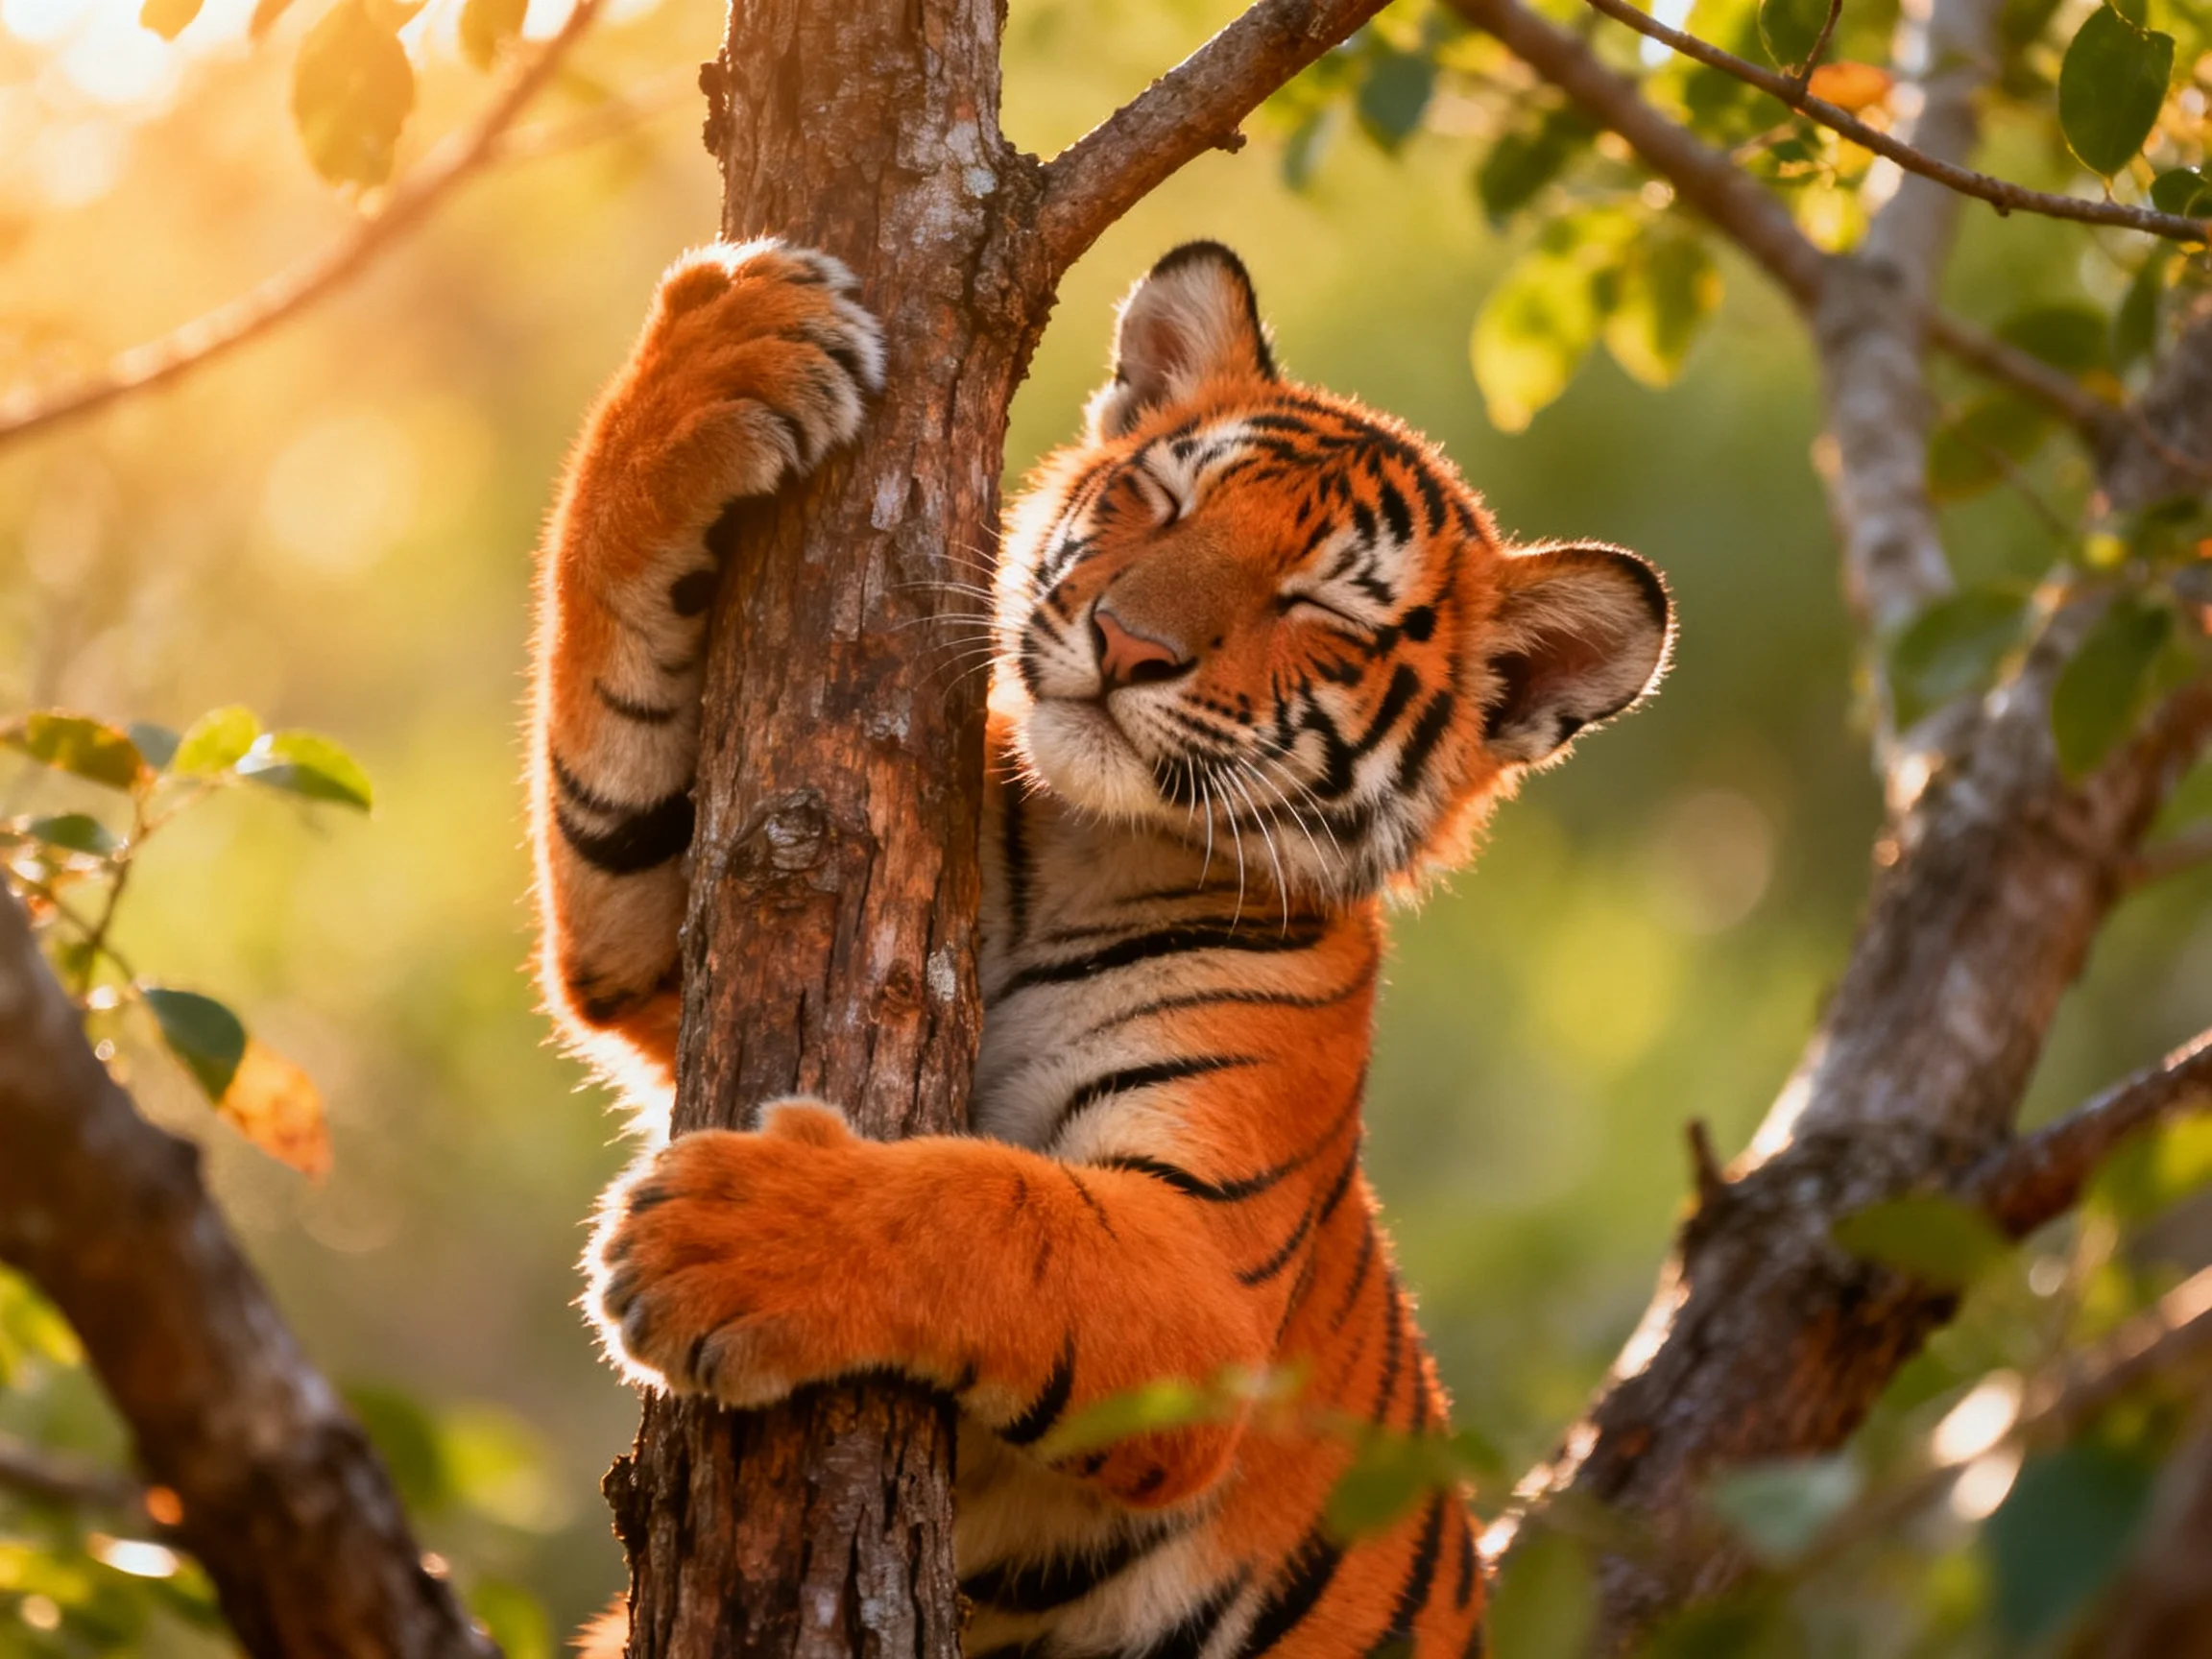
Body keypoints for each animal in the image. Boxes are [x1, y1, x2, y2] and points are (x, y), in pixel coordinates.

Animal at [529, 237, 1671, 1657]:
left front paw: (724, 1236)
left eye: (1320, 611)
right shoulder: (664, 928)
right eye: (1160, 502)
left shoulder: (1206, 1279)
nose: (1129, 643)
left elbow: (997, 1218)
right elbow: (605, 673)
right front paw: (725, 348)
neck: (1089, 845)